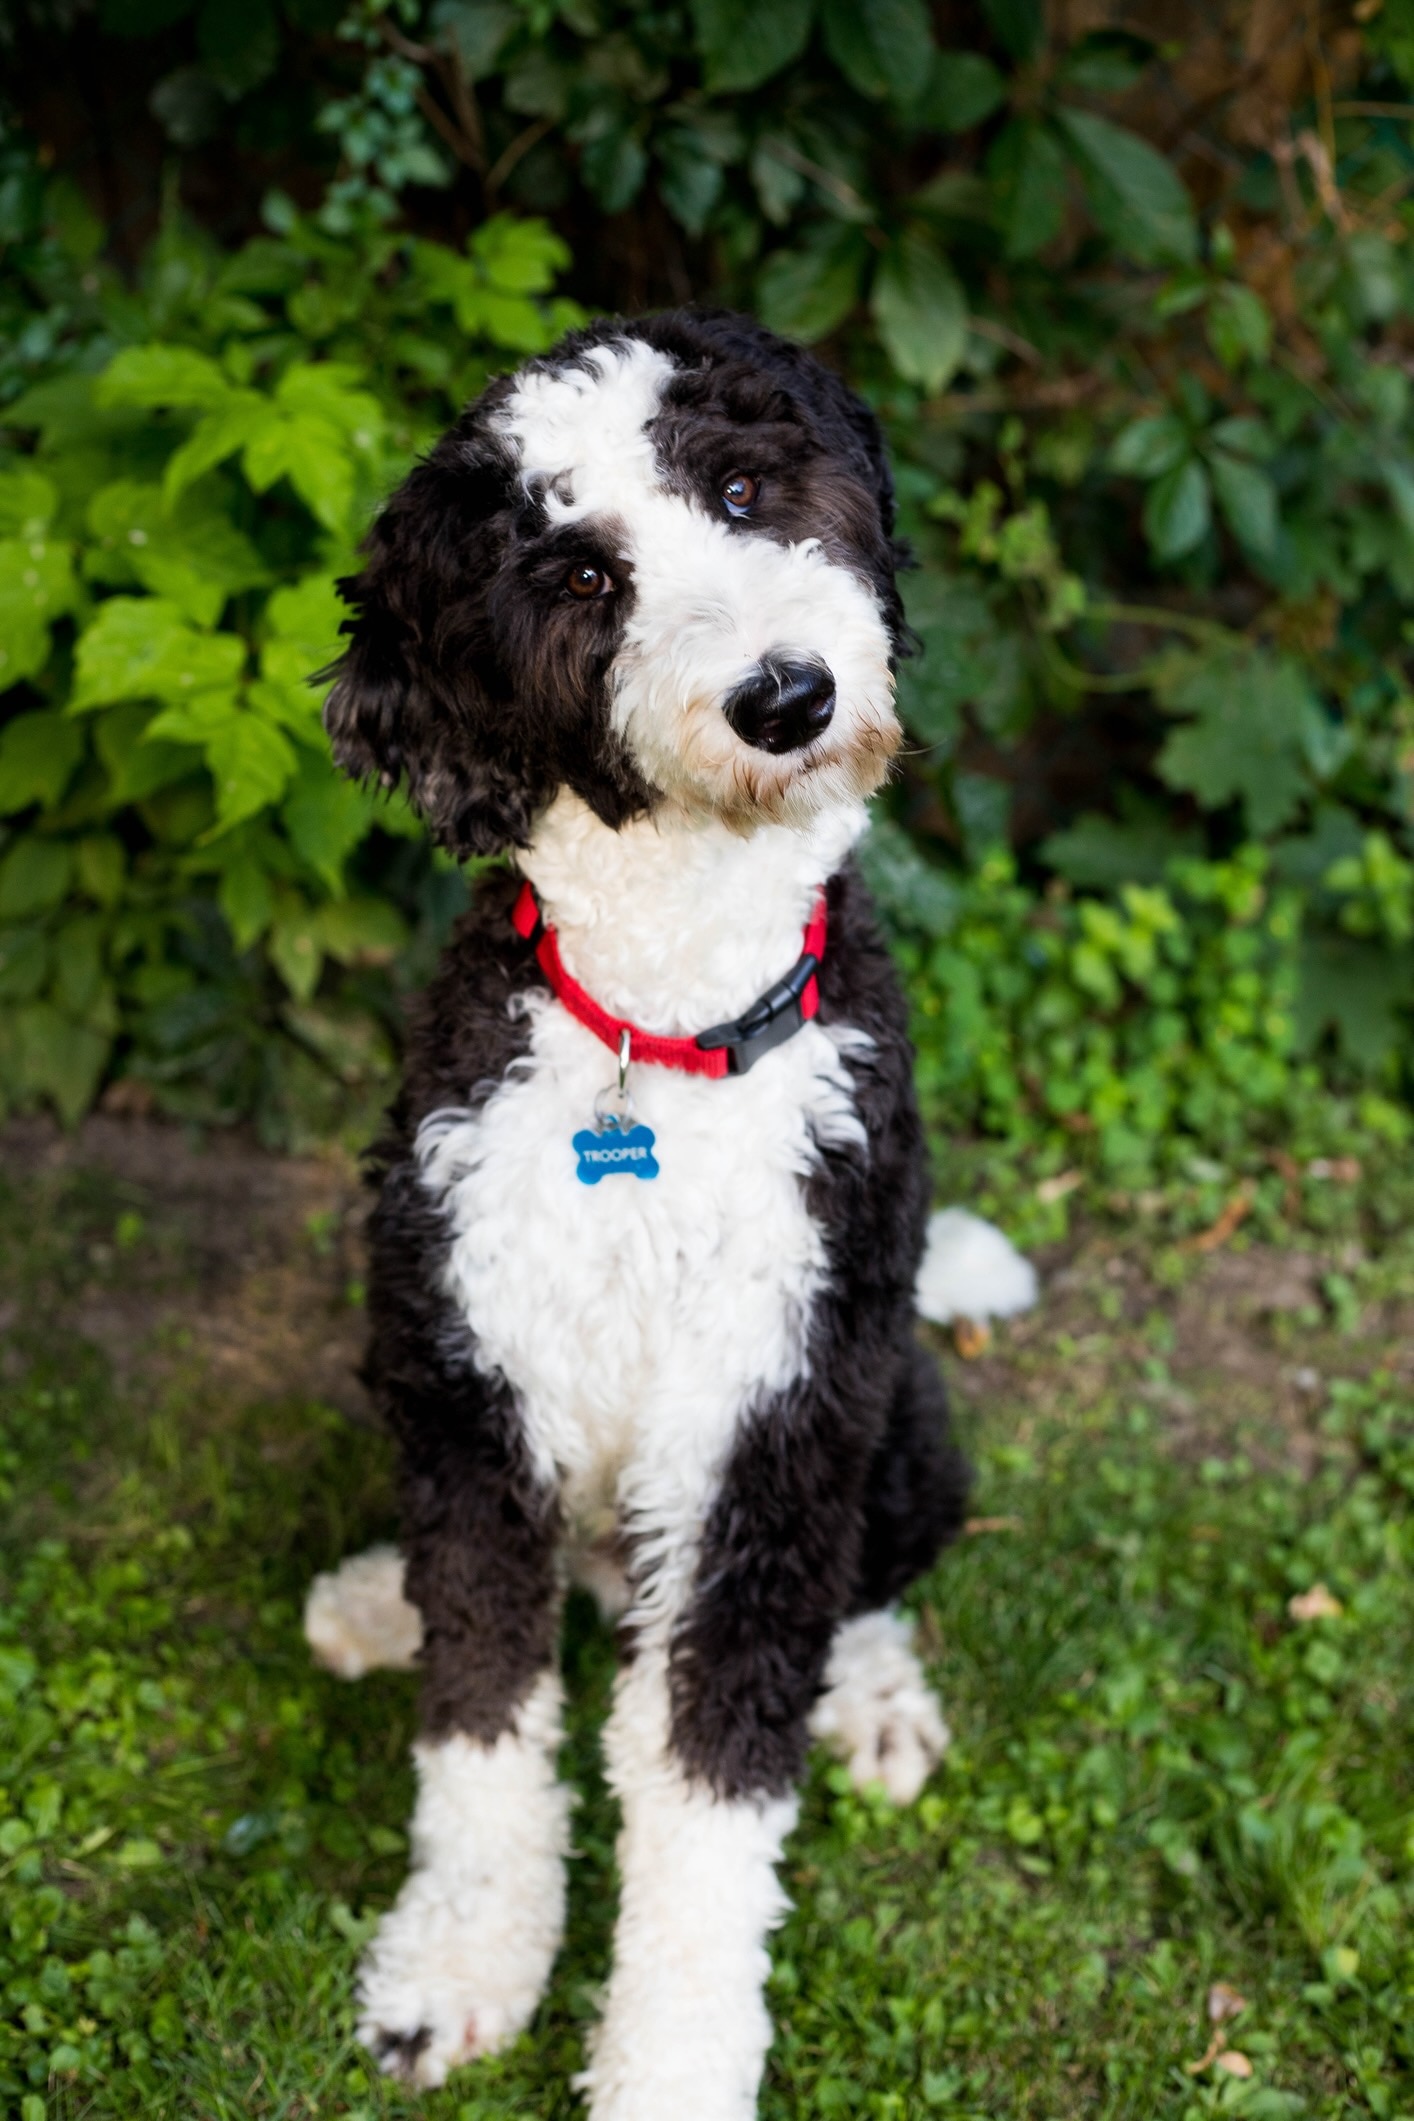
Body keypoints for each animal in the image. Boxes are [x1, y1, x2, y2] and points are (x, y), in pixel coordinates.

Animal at [307, 307, 1038, 2112]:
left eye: (742, 487)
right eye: (576, 576)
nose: (787, 696)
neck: (670, 1024)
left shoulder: (765, 1434)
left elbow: (710, 1793)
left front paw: (669, 2063)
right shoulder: (473, 1386)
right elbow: (480, 1716)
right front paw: (460, 1959)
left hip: (884, 1407)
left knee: (874, 1572)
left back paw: (870, 1695)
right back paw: (367, 1595)